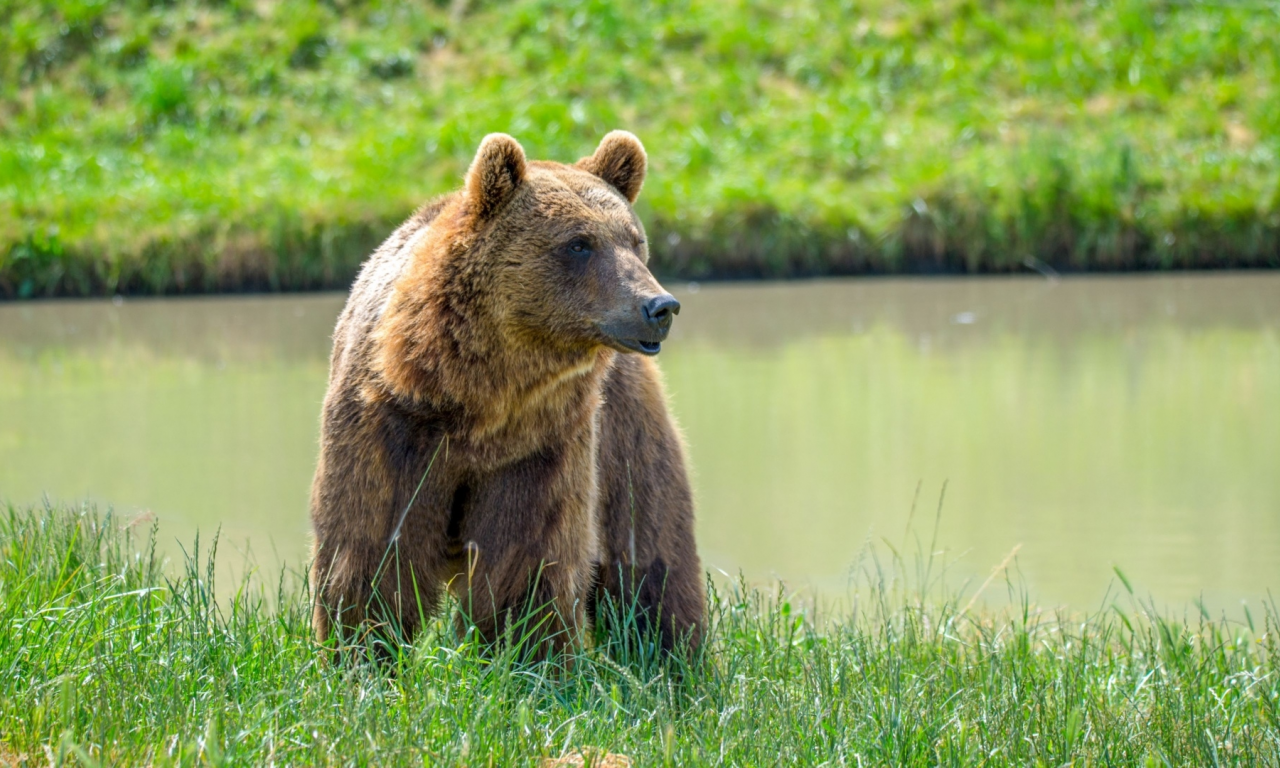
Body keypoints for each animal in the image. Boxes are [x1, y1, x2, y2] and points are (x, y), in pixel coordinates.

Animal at [312, 131, 711, 660]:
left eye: (634, 239)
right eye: (579, 243)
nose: (659, 306)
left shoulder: (540, 443)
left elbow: (527, 555)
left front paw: (522, 650)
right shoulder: (392, 425)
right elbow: (373, 546)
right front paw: (362, 650)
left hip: (624, 430)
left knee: (650, 548)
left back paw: (673, 656)